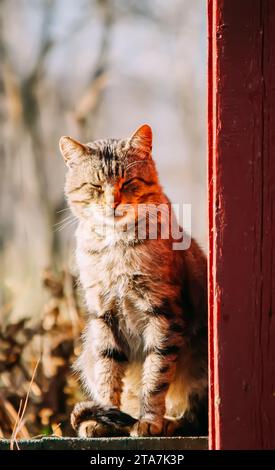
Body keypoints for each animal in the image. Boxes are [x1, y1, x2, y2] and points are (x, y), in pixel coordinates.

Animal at [59, 125, 208, 436]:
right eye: (96, 187)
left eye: (127, 182)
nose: (112, 203)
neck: (115, 245)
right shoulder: (104, 316)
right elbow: (108, 372)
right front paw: (103, 420)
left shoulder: (162, 313)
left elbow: (155, 374)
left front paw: (149, 421)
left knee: (195, 415)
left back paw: (169, 422)